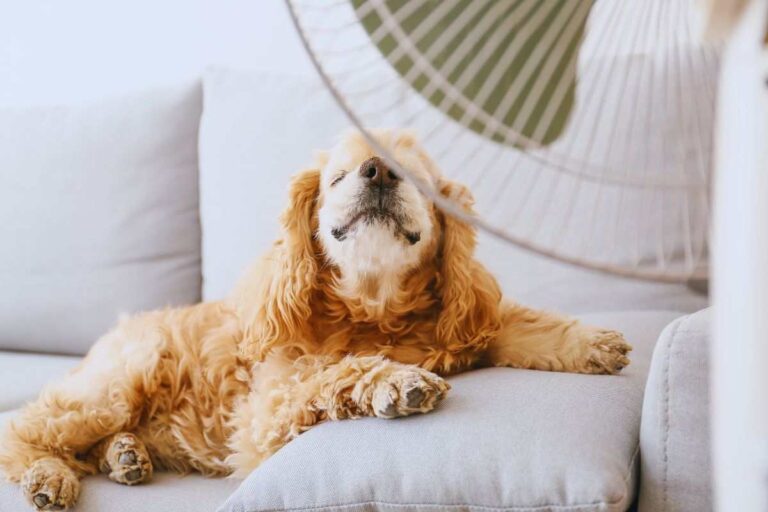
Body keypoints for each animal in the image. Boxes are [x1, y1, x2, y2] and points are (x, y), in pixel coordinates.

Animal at [0, 128, 632, 508]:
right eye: (338, 177)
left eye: (415, 176)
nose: (377, 171)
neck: (375, 309)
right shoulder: (267, 409)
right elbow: (337, 371)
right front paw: (396, 382)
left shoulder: (465, 320)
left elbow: (524, 324)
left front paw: (593, 343)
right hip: (119, 380)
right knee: (25, 431)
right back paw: (50, 477)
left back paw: (126, 456)